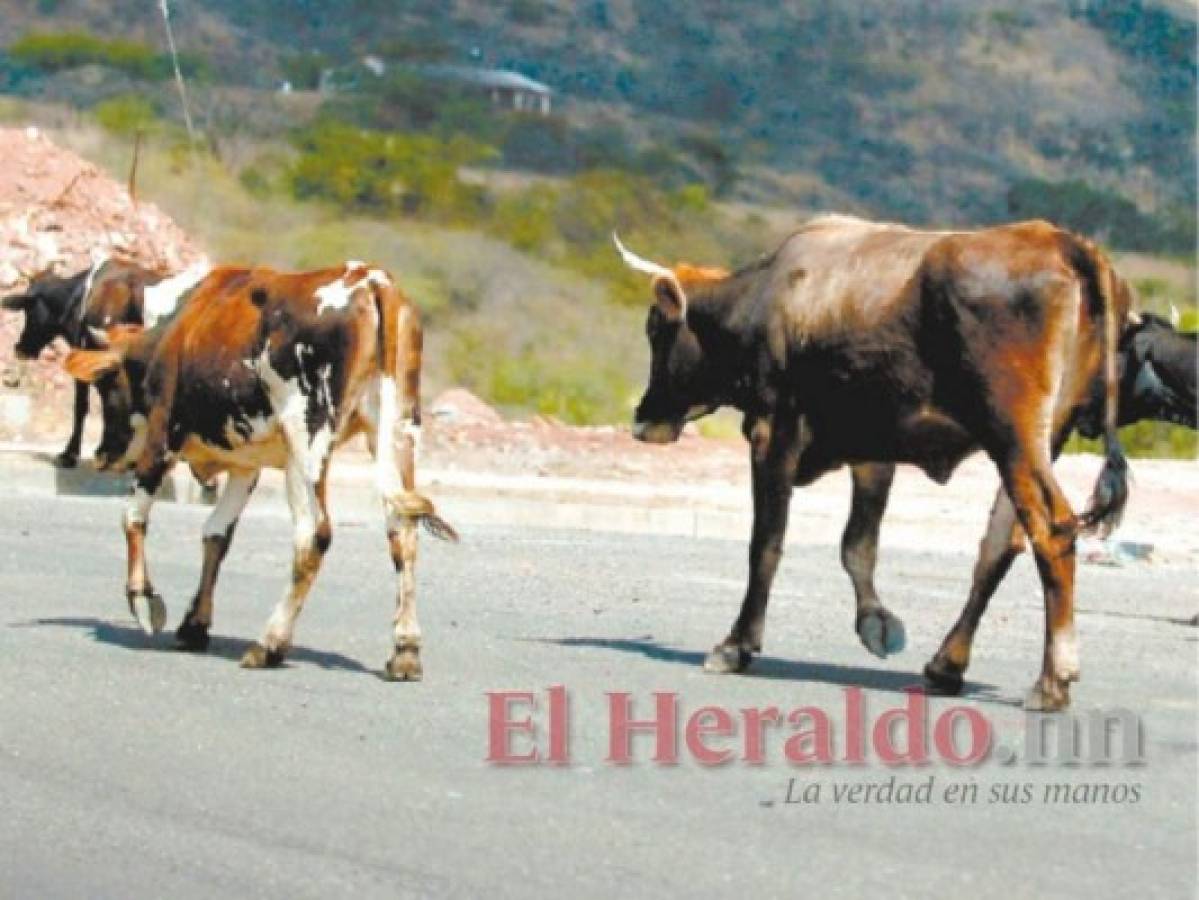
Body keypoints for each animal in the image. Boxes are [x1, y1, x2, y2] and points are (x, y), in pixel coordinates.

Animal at [66, 258, 458, 675]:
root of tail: (371, 280)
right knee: (403, 532)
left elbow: (133, 518)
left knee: (313, 534)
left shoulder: (162, 437)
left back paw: (269, 643)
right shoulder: (245, 465)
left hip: (307, 438)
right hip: (399, 432)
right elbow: (216, 535)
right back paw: (405, 649)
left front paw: (143, 600)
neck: (178, 329)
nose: (103, 454)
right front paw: (194, 624)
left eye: (106, 385)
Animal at [623, 214, 1136, 709]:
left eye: (656, 328)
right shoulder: (872, 452)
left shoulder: (774, 430)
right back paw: (946, 665)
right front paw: (875, 622)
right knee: (1000, 545)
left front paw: (737, 645)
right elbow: (858, 546)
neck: (763, 297)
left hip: (1013, 438)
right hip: (1041, 439)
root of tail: (1062, 243)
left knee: (1050, 532)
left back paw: (1052, 680)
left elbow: (766, 542)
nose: (642, 418)